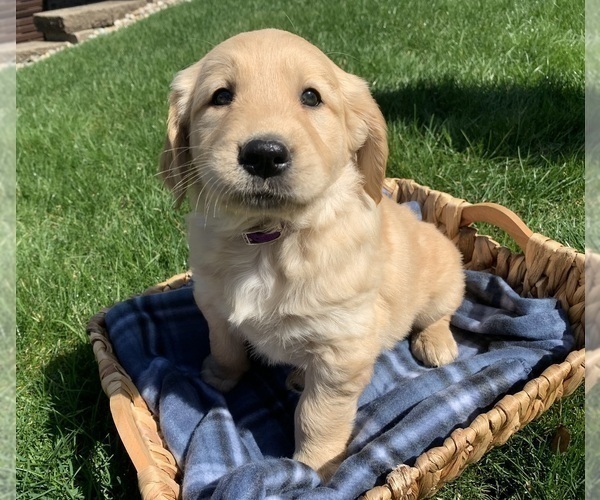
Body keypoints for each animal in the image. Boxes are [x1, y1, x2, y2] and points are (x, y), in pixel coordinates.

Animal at [159, 28, 464, 480]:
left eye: (311, 97)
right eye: (220, 96)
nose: (264, 154)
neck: (268, 240)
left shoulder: (342, 351)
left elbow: (318, 416)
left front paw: (312, 469)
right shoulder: (212, 303)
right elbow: (225, 343)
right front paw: (219, 374)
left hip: (445, 278)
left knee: (440, 314)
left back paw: (436, 344)